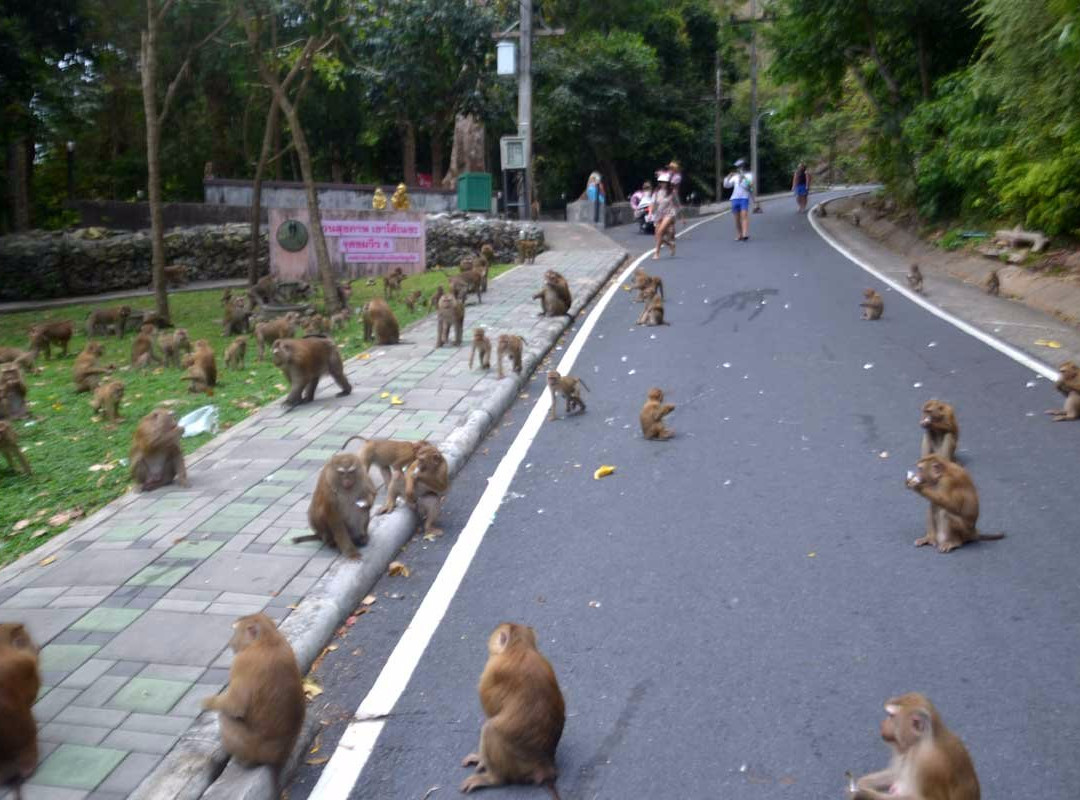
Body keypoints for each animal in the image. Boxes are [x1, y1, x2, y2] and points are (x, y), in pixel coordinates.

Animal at [200, 613, 304, 794]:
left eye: (236, 631)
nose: (230, 643)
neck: (268, 640)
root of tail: (279, 757)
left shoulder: (241, 663)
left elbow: (236, 705)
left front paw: (208, 702)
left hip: (249, 747)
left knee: (225, 718)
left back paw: (242, 761)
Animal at [457, 621, 565, 794]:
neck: (519, 647)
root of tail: (543, 765)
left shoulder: (492, 669)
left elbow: (491, 710)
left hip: (517, 765)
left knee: (490, 729)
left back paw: (493, 779)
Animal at [846, 690, 984, 794]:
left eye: (891, 716)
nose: (882, 724)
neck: (920, 743)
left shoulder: (929, 765)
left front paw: (861, 794)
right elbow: (895, 774)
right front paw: (860, 785)